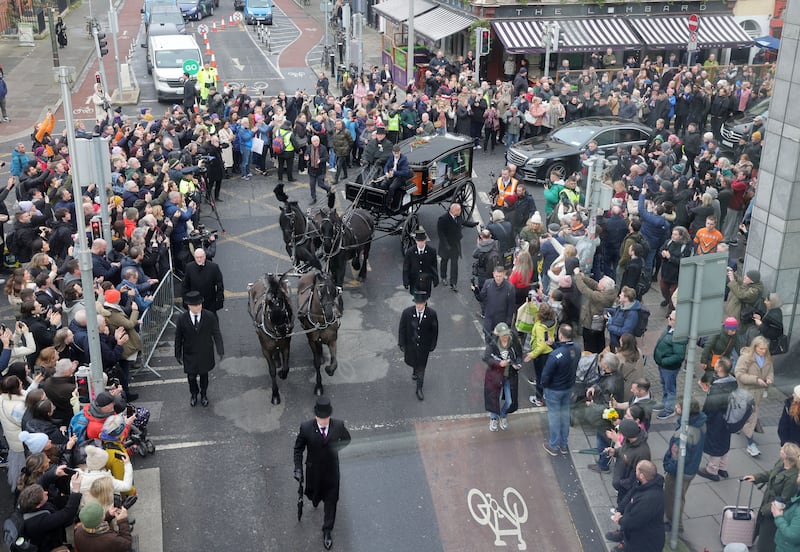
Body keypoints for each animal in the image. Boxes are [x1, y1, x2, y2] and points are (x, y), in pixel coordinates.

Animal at [248, 272, 296, 406]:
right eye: (268, 304)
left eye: (283, 300)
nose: (282, 329)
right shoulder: (266, 350)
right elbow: (272, 371)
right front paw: (275, 395)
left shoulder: (286, 345)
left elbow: (286, 367)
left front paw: (282, 373)